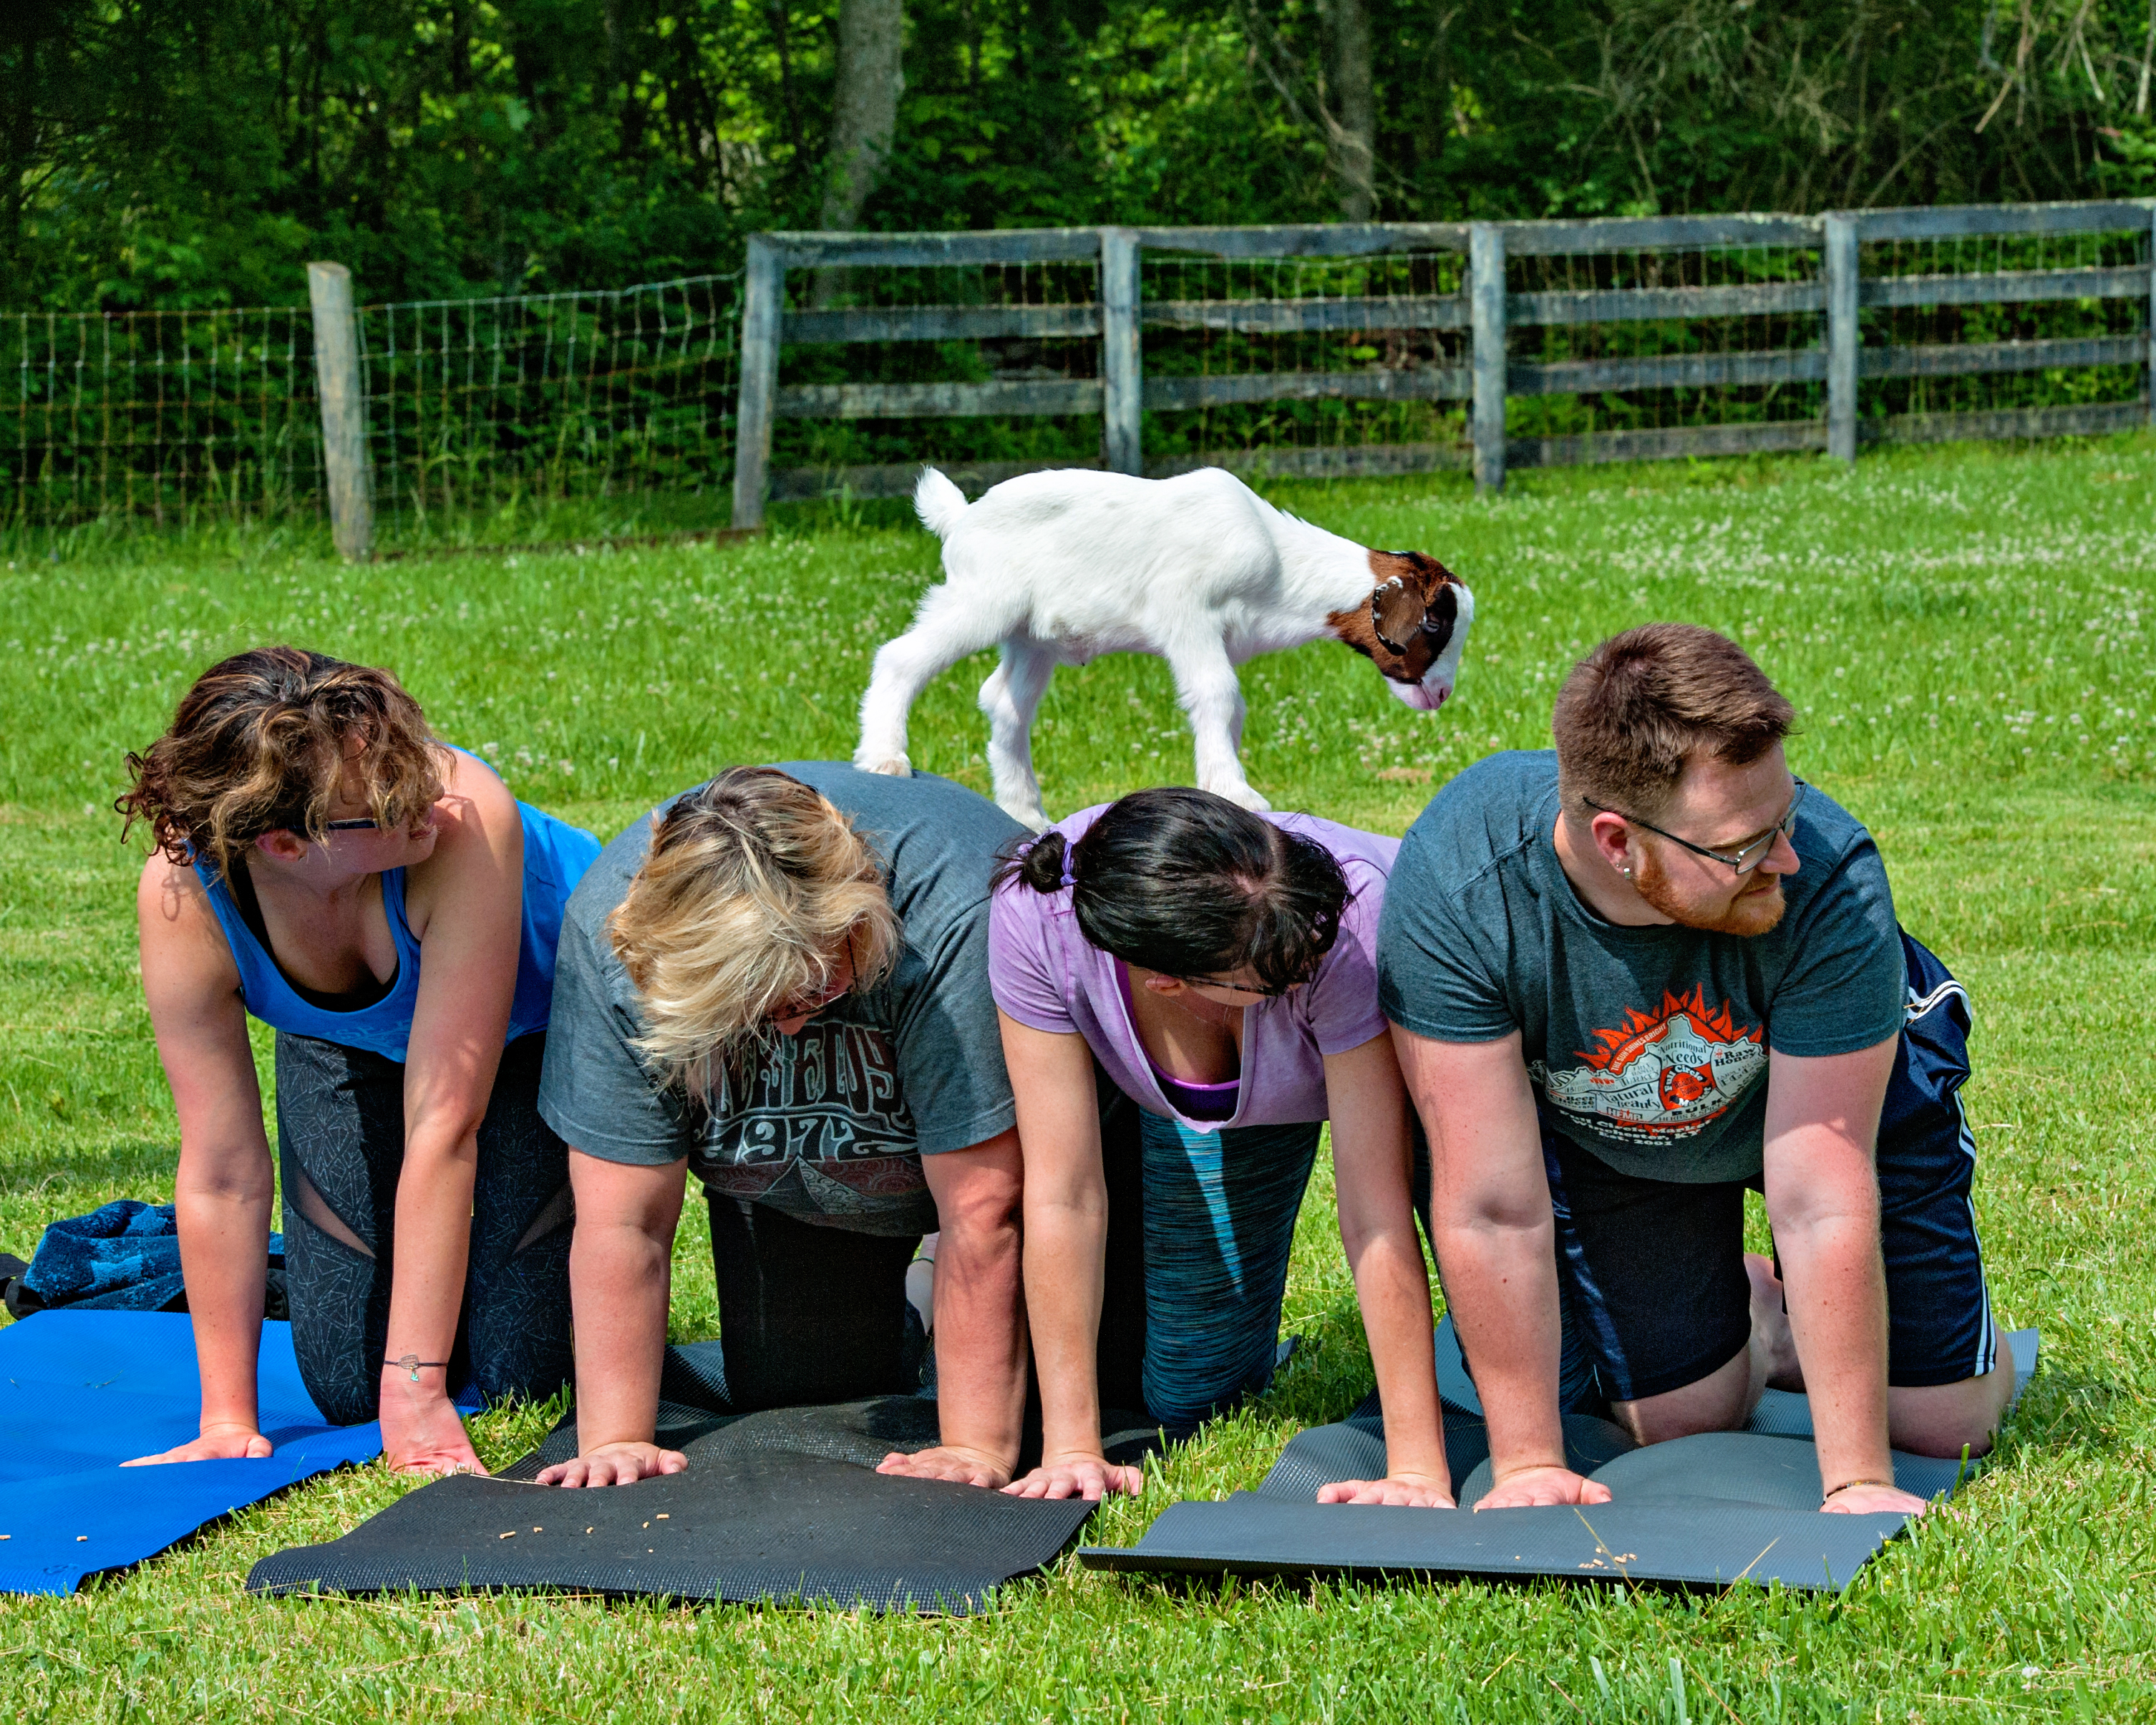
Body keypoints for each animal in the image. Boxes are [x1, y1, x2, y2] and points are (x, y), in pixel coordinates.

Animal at [849, 465, 1475, 827]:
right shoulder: (1187, 612)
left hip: (1031, 638)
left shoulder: (1217, 634)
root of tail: (960, 518)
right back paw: (884, 757)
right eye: (1435, 625)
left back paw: (1026, 814)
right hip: (982, 601)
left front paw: (1223, 788)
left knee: (1004, 704)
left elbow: (1232, 709)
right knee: (900, 658)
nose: (1443, 694)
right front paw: (1239, 792)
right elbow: (1219, 695)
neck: (1279, 563)